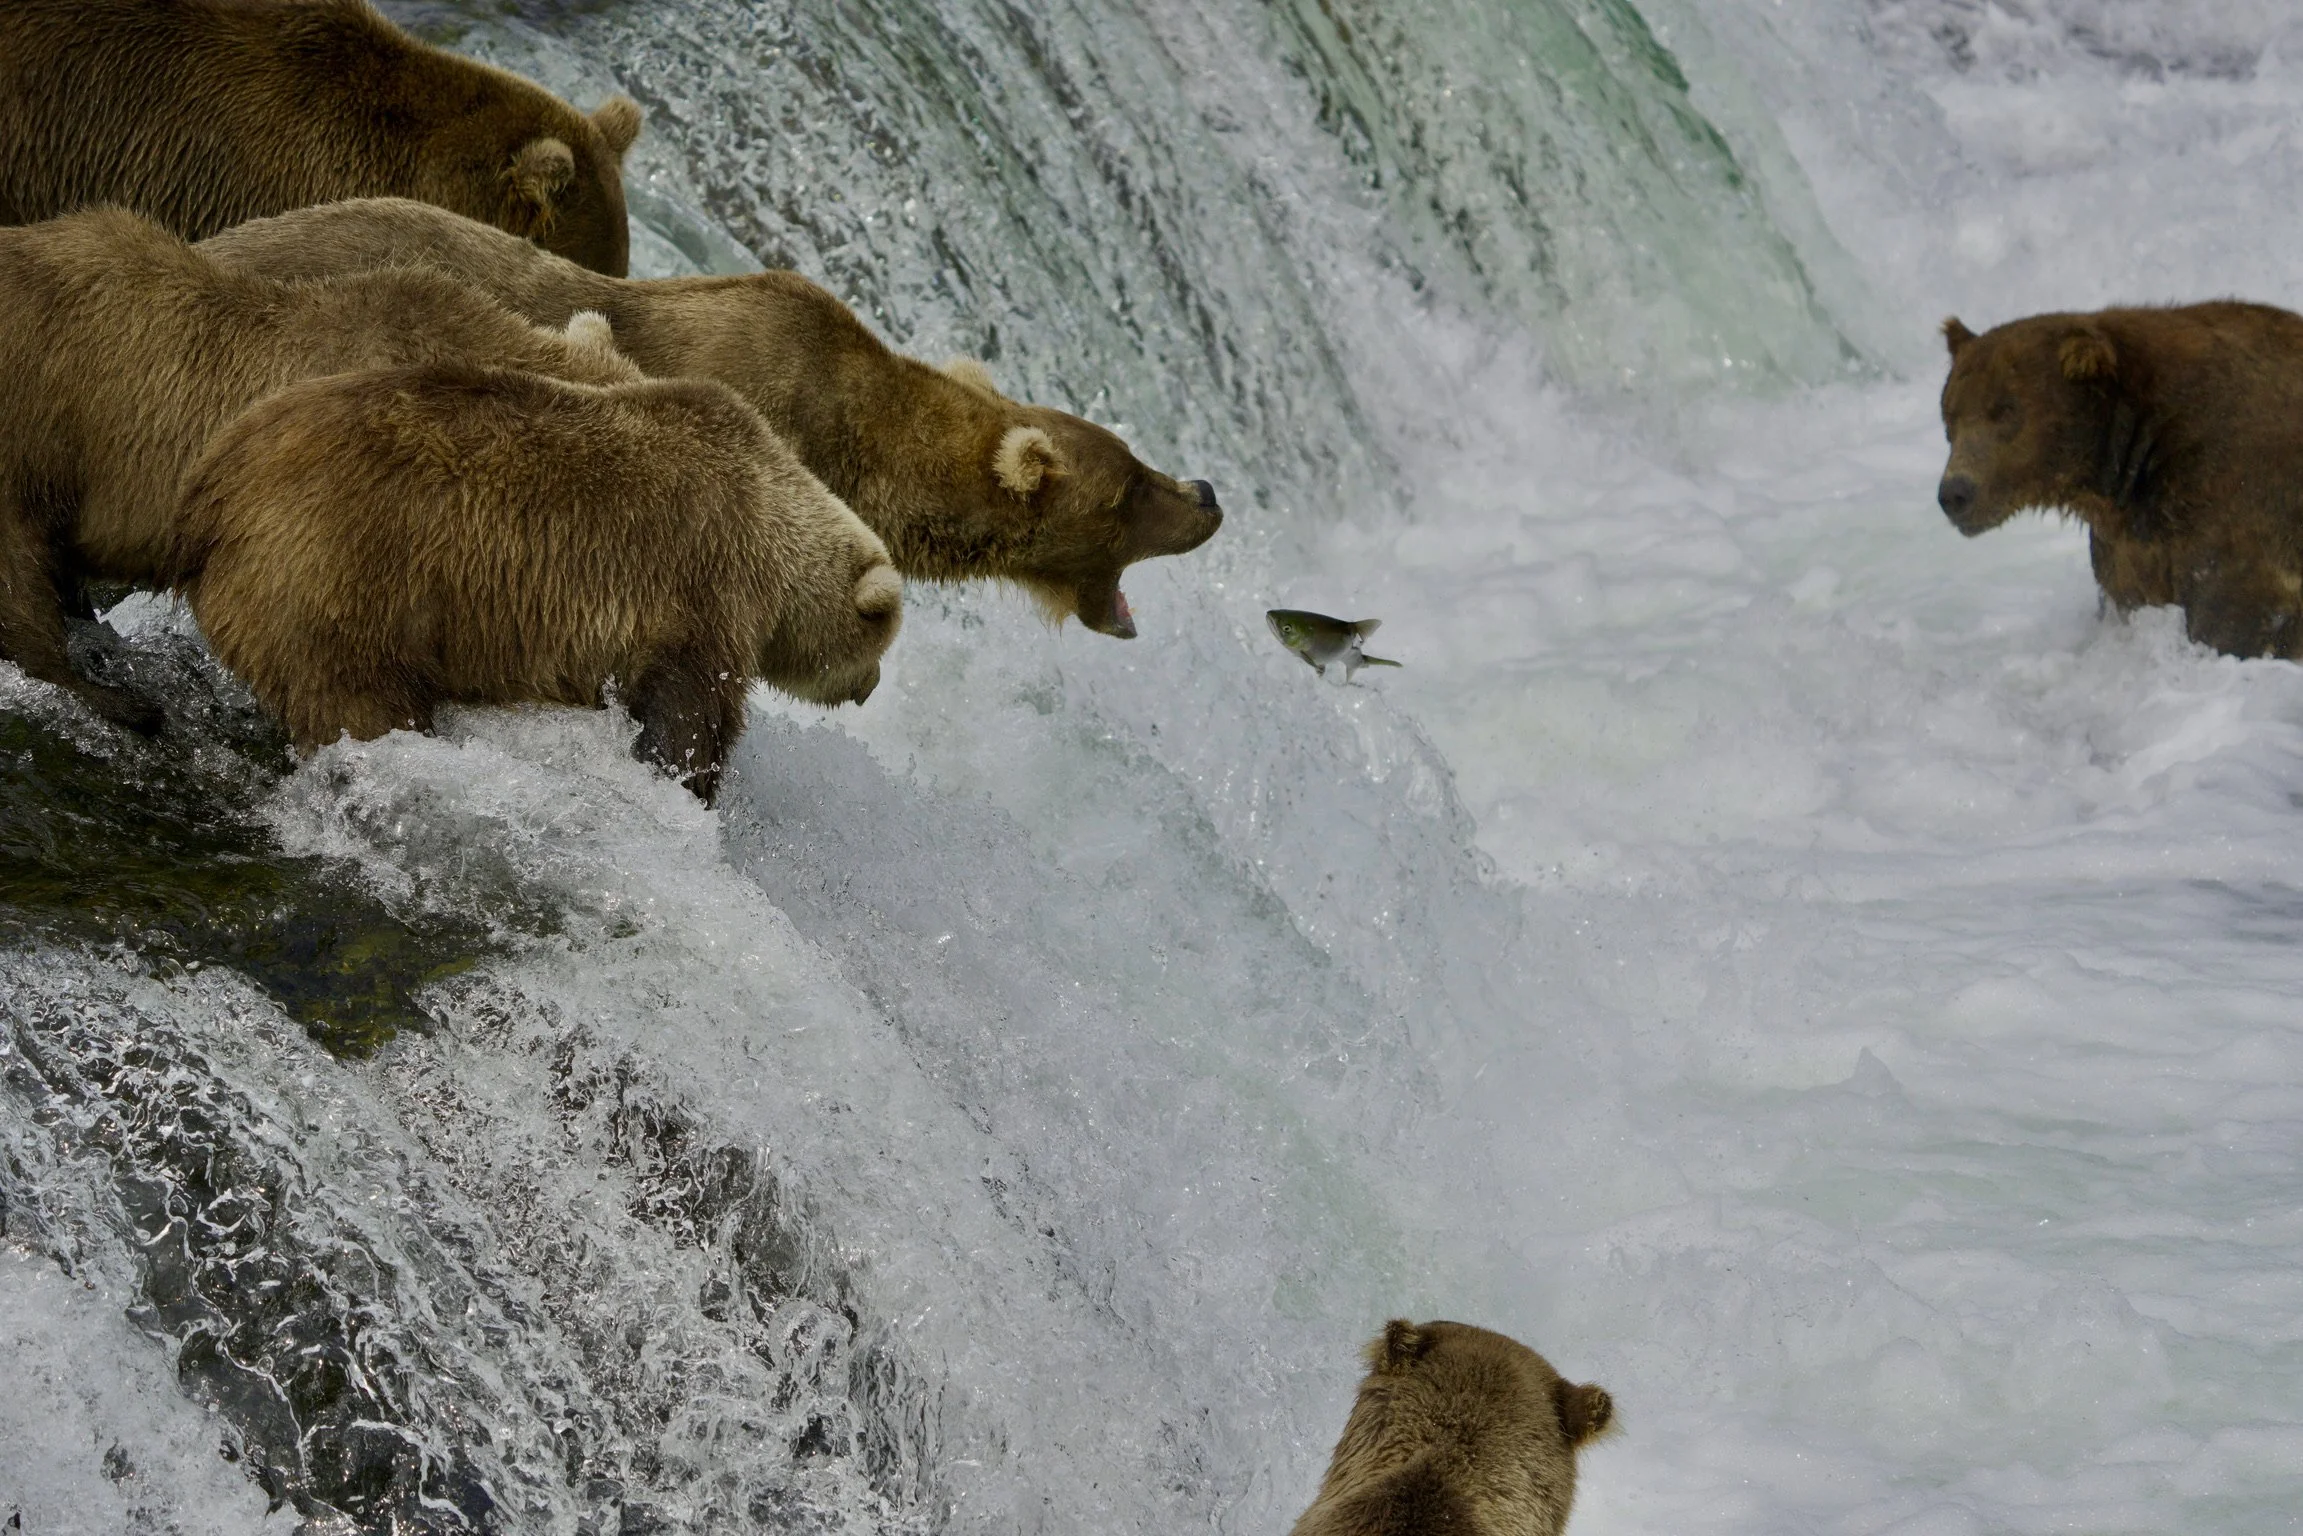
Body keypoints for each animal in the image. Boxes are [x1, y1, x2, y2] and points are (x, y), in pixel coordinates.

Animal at [176, 359, 902, 804]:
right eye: (881, 644)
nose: (871, 688)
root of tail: (212, 479)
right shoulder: (706, 581)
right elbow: (690, 713)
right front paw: (686, 785)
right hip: (341, 576)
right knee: (355, 699)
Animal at [1939, 303, 2303, 659]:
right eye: (1950, 414)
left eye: (2005, 410)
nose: (1955, 492)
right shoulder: (2131, 542)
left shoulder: (2231, 497)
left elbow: (2232, 614)